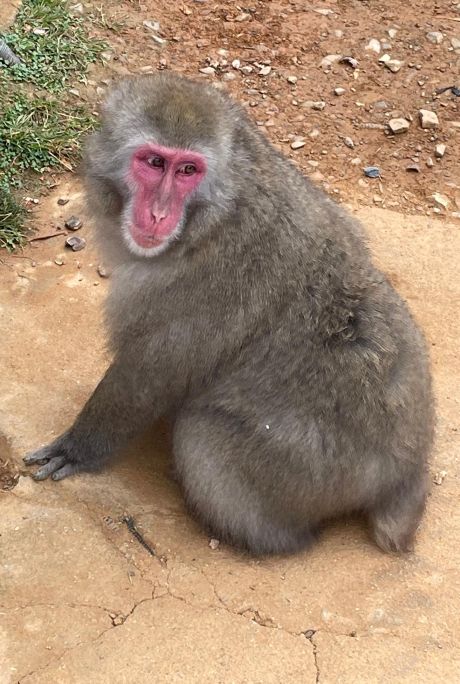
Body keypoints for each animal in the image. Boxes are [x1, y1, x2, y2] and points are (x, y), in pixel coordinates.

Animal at [24, 72, 434, 556]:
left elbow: (149, 374)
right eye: (153, 162)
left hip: (313, 472)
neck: (211, 214)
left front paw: (79, 448)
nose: (158, 214)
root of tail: (409, 466)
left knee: (200, 436)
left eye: (188, 170)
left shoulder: (205, 282)